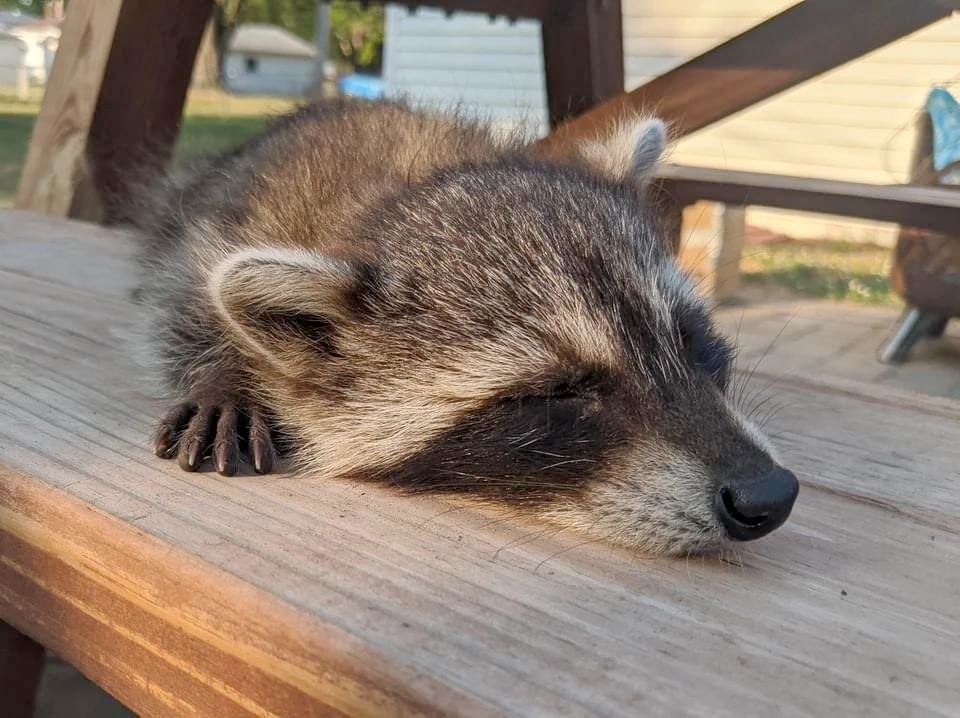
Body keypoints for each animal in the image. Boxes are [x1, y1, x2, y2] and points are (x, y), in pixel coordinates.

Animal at [135, 99, 798, 556]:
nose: (769, 494)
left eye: (694, 341)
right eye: (557, 392)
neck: (392, 200)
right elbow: (190, 303)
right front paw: (228, 374)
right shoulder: (217, 232)